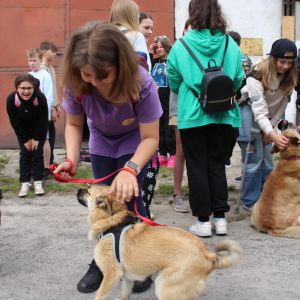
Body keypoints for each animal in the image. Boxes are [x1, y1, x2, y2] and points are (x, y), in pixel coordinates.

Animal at [76, 185, 243, 300]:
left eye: (89, 191)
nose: (77, 188)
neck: (113, 222)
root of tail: (208, 255)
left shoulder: (111, 274)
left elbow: (99, 295)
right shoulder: (126, 279)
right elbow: (124, 295)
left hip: (164, 287)